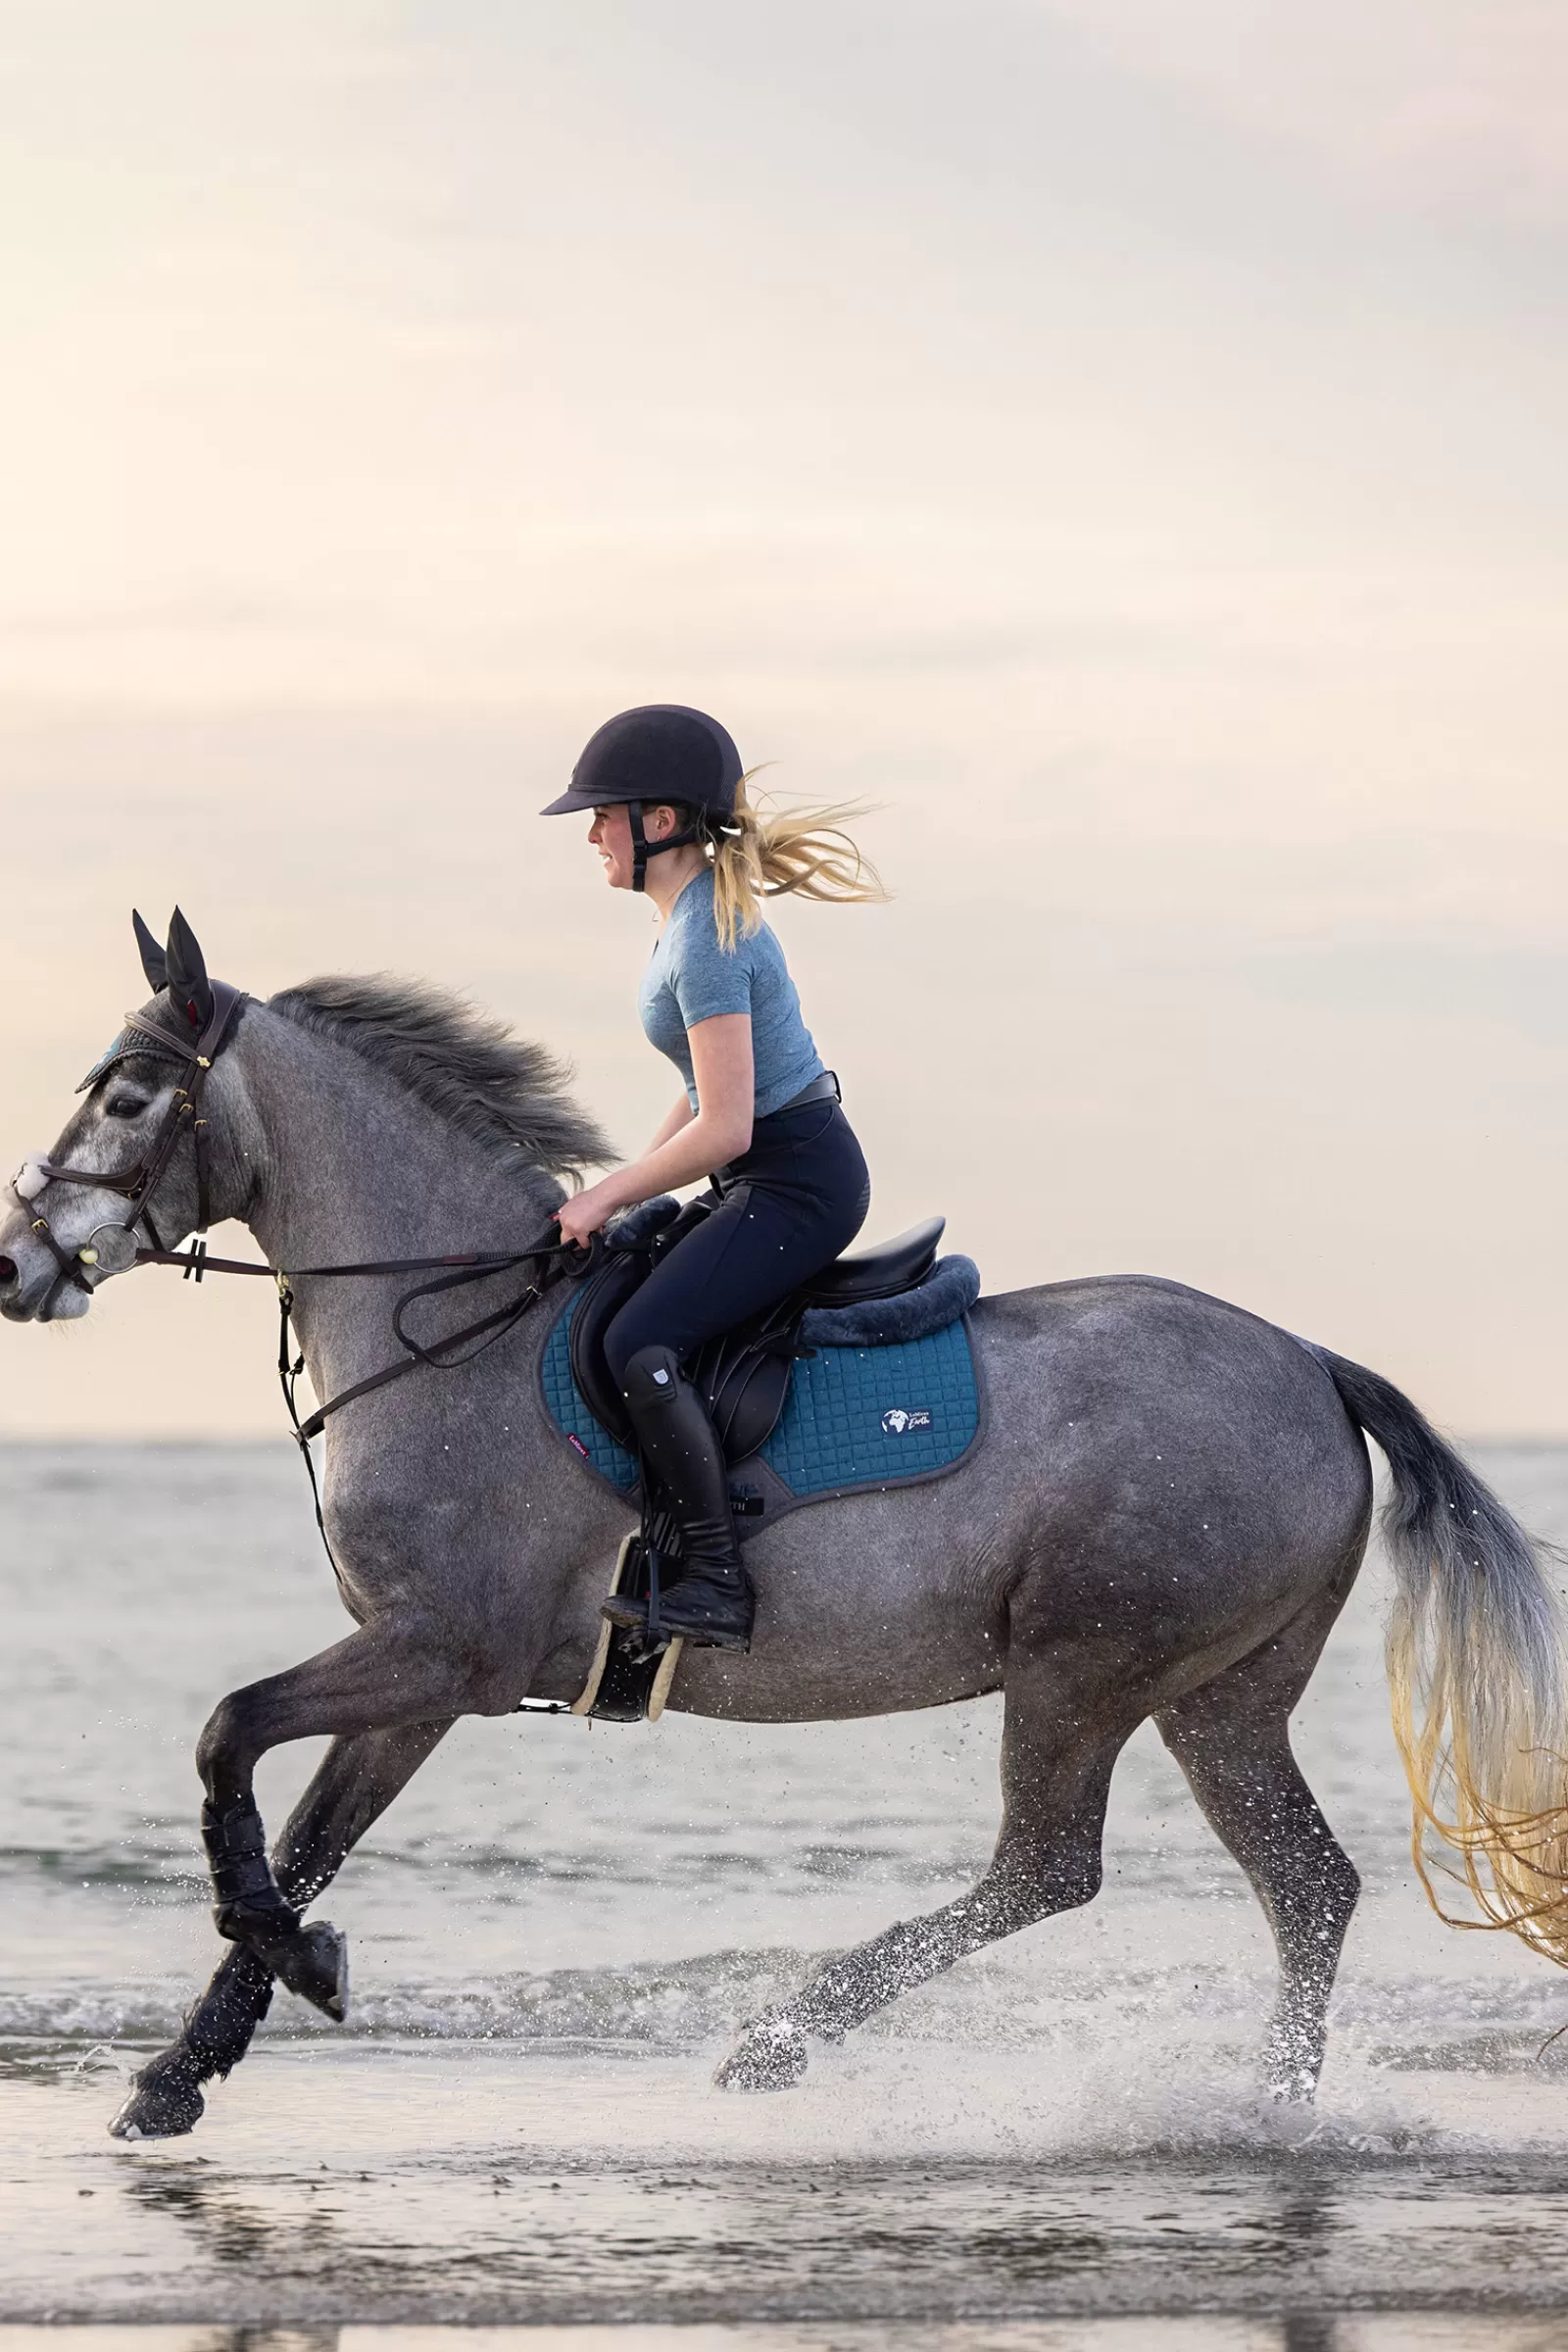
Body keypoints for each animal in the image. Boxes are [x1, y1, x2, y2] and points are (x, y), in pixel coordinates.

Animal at [3, 921, 1568, 2154]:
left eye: (130, 1097)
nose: (18, 1265)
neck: (450, 1329)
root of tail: (1309, 1361)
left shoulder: (438, 1653)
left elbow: (225, 1737)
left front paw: (295, 1974)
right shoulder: (417, 1680)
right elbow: (307, 1834)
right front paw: (183, 2070)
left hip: (1083, 1672)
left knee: (1050, 1870)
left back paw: (781, 2037)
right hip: (1222, 1697)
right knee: (1305, 1888)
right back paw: (1275, 2110)